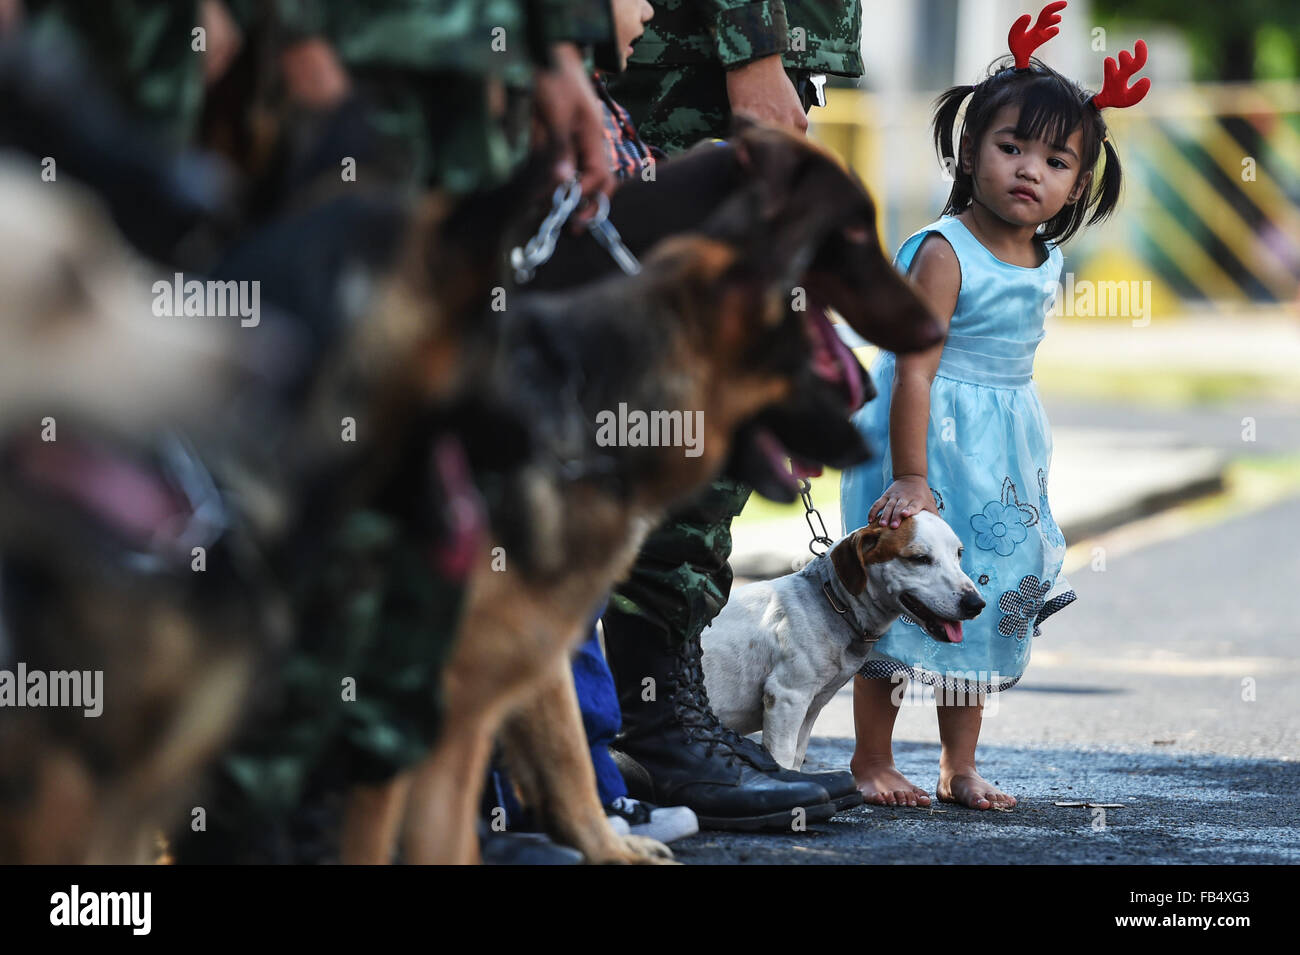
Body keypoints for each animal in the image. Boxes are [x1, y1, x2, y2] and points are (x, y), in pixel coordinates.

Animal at [702, 511, 982, 774]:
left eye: (958, 553)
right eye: (920, 558)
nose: (976, 604)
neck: (832, 601)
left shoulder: (810, 708)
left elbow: (796, 757)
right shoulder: (786, 698)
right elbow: (783, 758)